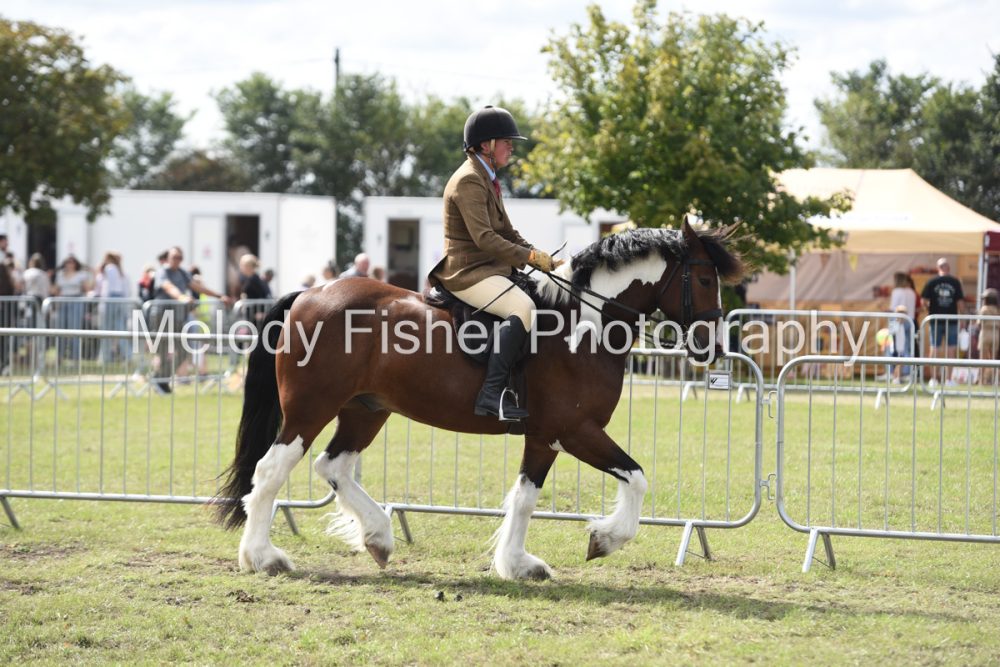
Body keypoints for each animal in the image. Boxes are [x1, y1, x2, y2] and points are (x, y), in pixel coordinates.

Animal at [214, 219, 743, 580]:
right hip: (310, 409)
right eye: (703, 280)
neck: (581, 327)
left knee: (334, 466)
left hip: (366, 410)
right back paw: (263, 557)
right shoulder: (572, 431)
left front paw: (517, 564)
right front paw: (603, 539)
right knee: (271, 470)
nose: (714, 347)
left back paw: (378, 536)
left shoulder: (544, 437)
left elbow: (526, 497)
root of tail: (309, 294)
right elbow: (635, 478)